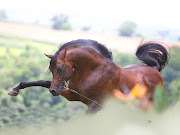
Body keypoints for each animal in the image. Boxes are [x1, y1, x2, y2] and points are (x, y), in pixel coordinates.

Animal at [8, 39, 169, 113]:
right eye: (51, 70)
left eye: (60, 68)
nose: (53, 91)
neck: (93, 72)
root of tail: (155, 70)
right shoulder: (71, 94)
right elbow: (42, 81)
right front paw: (15, 89)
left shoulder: (95, 105)